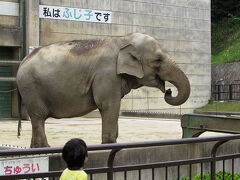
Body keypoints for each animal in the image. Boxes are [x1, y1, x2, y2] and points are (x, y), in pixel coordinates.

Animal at [15, 32, 190, 148]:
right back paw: (45, 148)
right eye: (158, 60)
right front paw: (108, 146)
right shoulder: (106, 74)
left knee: (37, 120)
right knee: (39, 117)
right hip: (31, 87)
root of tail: (22, 61)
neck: (123, 39)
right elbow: (109, 106)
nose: (168, 91)